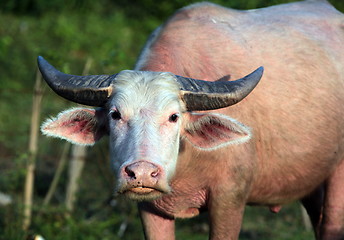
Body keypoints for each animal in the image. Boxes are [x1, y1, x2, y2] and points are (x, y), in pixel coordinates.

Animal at [38, 0, 344, 239]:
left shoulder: (229, 200)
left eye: (174, 116)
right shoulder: (148, 207)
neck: (186, 162)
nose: (142, 173)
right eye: (115, 115)